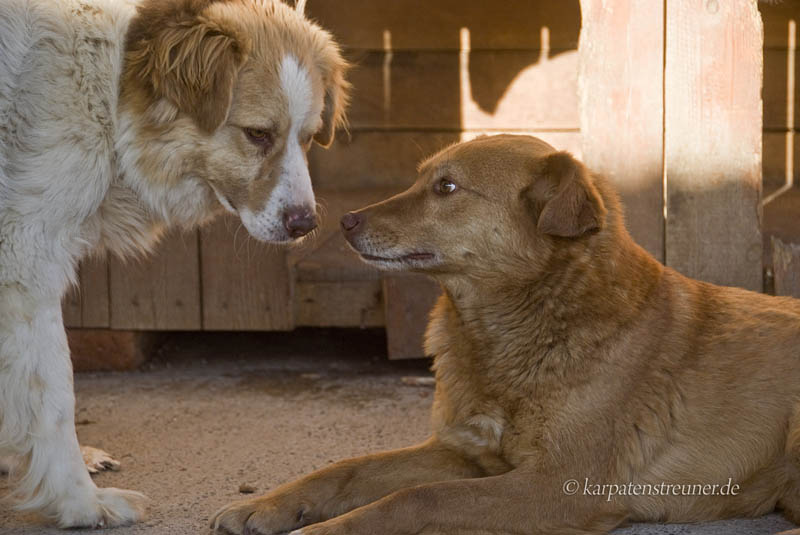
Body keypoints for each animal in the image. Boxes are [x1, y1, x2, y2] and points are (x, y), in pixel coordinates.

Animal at [0, 0, 350, 528]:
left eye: (308, 137)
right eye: (257, 135)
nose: (305, 224)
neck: (110, 90)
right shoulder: (26, 258)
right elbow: (53, 393)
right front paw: (80, 503)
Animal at [211, 135, 800, 535]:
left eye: (447, 187)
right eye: (419, 179)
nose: (344, 221)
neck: (500, 336)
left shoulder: (559, 487)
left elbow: (419, 498)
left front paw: (327, 531)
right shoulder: (463, 454)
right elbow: (348, 470)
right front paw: (265, 505)